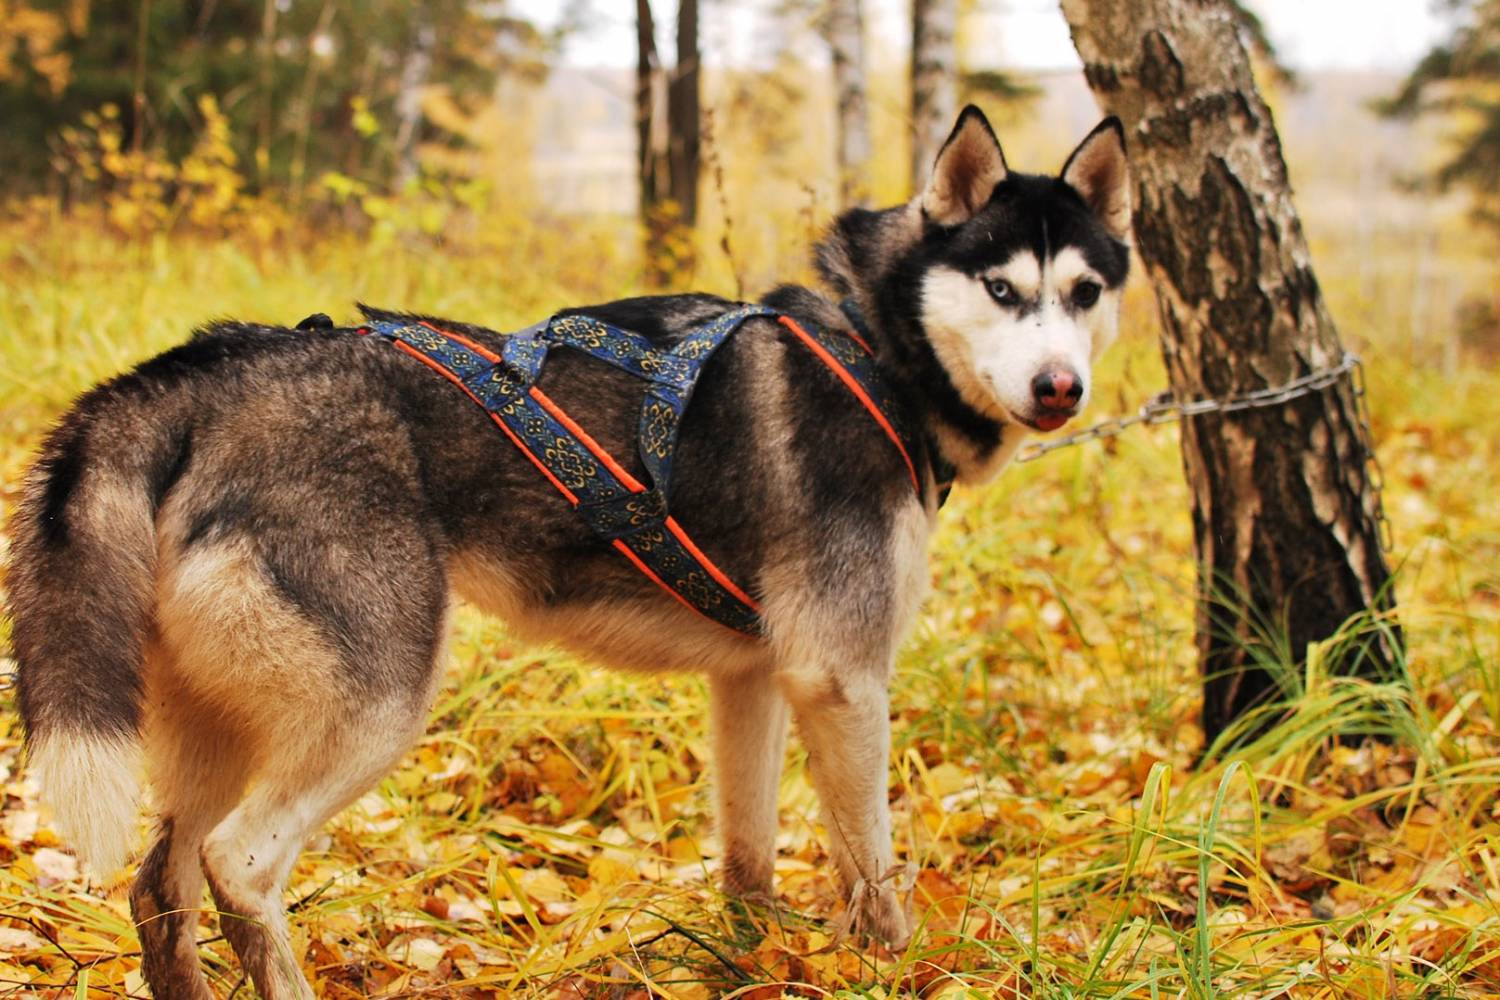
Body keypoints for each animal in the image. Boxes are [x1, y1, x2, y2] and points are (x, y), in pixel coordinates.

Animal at [5, 105, 1128, 995]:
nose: (1061, 388)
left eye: (1083, 292)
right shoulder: (842, 679)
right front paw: (894, 969)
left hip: (220, 726)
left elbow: (749, 861)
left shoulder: (756, 681)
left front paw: (755, 959)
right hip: (373, 708)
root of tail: (197, 375)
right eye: (999, 289)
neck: (871, 343)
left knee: (162, 881)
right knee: (239, 864)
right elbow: (875, 871)